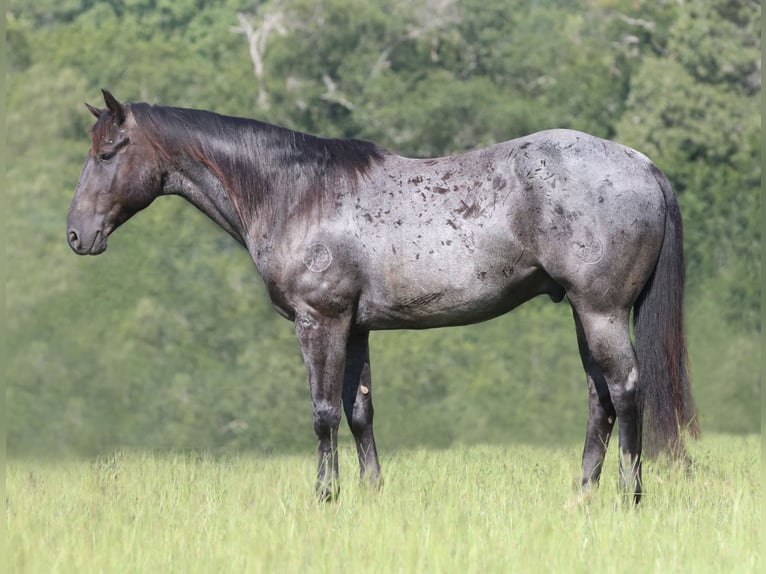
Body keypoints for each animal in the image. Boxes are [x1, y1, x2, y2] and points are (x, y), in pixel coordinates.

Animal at [67, 90, 698, 502]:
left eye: (107, 153)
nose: (76, 234)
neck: (297, 192)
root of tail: (643, 165)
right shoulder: (356, 327)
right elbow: (359, 412)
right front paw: (372, 493)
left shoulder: (319, 321)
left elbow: (323, 413)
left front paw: (326, 497)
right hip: (584, 314)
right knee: (601, 401)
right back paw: (581, 495)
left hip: (601, 312)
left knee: (626, 392)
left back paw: (628, 496)